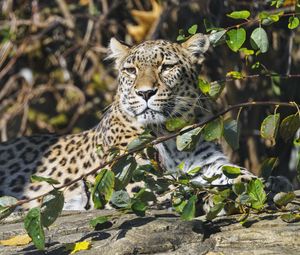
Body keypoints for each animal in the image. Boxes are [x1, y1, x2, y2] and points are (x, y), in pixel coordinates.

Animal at [0, 34, 292, 213]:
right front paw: (218, 196)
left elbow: (237, 174)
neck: (168, 132)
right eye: (131, 70)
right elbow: (185, 189)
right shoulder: (131, 182)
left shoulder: (209, 163)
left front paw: (269, 183)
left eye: (166, 67)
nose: (145, 93)